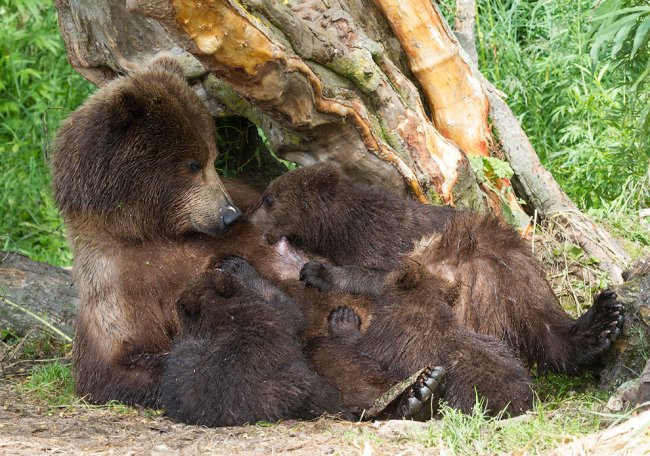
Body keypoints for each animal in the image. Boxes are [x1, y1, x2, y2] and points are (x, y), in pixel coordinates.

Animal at [252, 162, 624, 376]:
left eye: (269, 198)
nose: (248, 218)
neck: (343, 230)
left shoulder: (395, 245)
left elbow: (380, 277)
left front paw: (316, 271)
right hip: (517, 274)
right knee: (545, 325)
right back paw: (602, 326)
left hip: (480, 265)